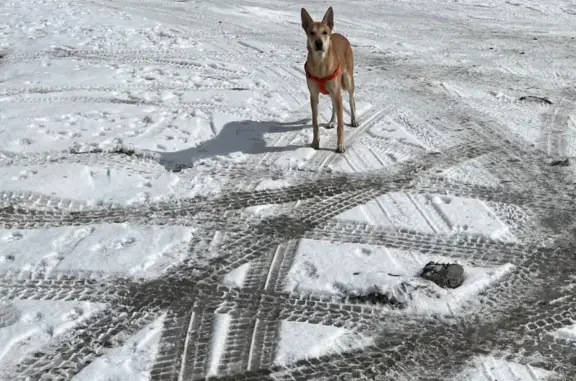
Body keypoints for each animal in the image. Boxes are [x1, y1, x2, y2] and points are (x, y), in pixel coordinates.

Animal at [300, 6, 358, 153]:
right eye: (312, 33)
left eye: (324, 32)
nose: (319, 43)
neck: (321, 64)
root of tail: (340, 35)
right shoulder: (314, 96)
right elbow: (315, 123)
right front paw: (315, 142)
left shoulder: (337, 93)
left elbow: (341, 126)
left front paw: (340, 145)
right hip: (333, 91)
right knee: (334, 106)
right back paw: (332, 121)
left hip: (347, 80)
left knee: (351, 100)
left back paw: (354, 120)